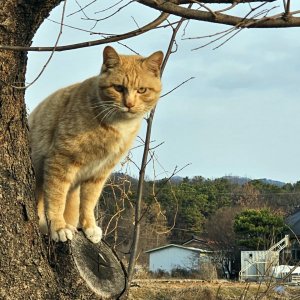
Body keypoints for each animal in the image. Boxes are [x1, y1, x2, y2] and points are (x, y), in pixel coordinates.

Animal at [28, 46, 164, 244]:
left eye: (142, 90)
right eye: (118, 88)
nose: (129, 104)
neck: (118, 125)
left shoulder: (99, 173)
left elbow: (89, 202)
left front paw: (89, 227)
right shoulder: (60, 161)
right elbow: (55, 197)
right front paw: (58, 227)